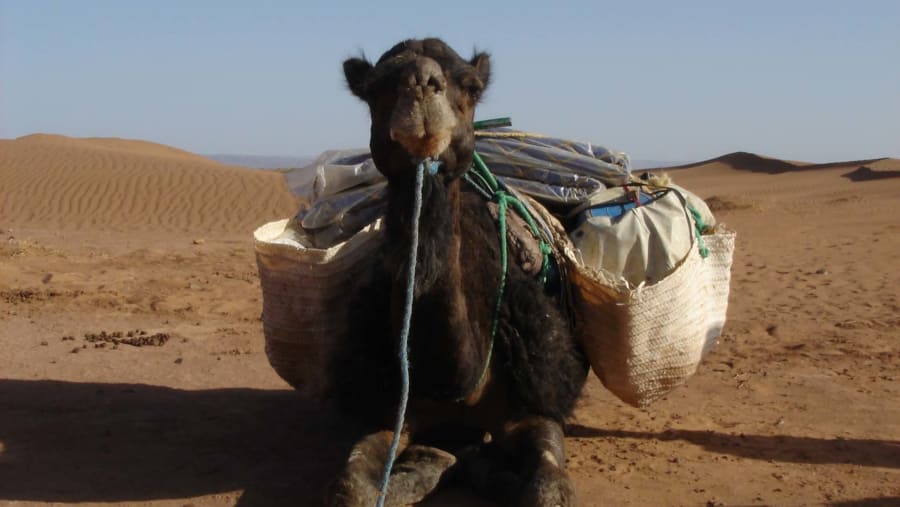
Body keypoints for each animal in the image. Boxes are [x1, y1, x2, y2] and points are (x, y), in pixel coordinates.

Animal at [329, 38, 589, 506]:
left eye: (469, 86)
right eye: (376, 89)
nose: (421, 81)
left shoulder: (531, 407)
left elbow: (548, 488)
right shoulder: (391, 409)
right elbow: (351, 487)